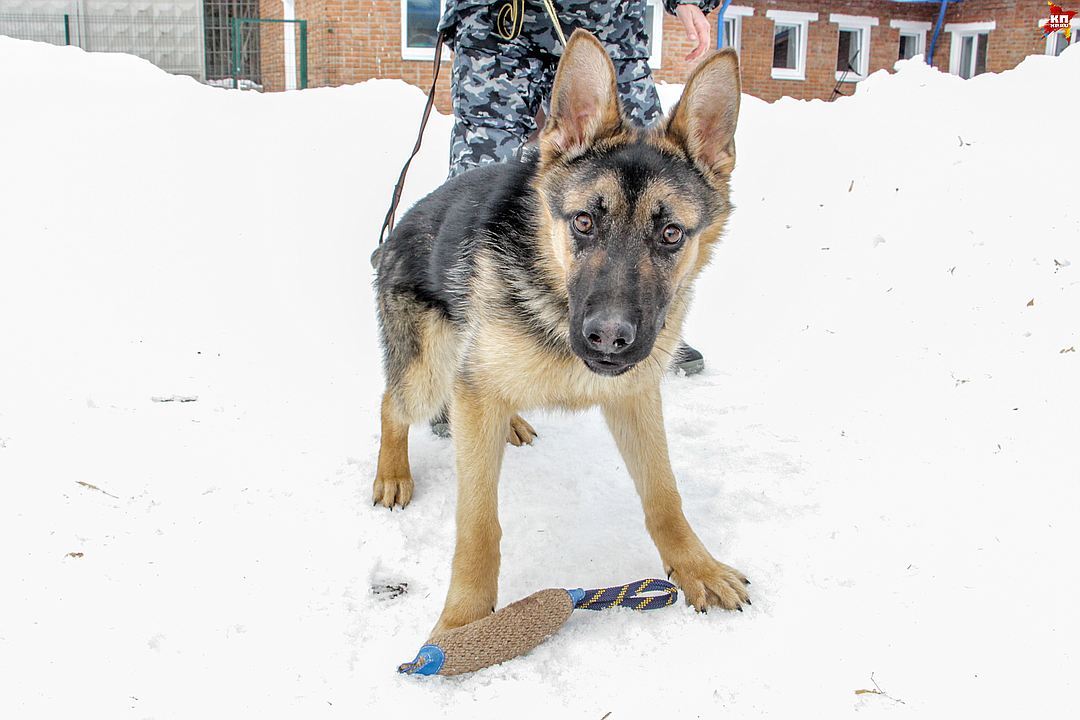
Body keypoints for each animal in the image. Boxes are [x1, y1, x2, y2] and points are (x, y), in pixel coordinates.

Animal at [375, 29, 747, 634]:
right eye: (584, 222)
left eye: (671, 233)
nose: (610, 337)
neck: (555, 294)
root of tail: (401, 222)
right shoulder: (479, 397)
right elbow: (478, 526)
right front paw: (463, 621)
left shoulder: (635, 396)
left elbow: (664, 494)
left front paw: (696, 567)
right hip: (428, 371)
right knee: (392, 402)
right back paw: (391, 475)